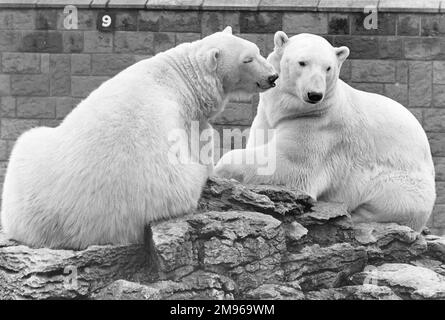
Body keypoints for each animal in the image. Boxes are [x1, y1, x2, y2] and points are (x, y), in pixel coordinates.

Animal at [0, 26, 278, 250]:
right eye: (248, 59)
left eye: (257, 50)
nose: (273, 77)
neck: (180, 77)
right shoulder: (184, 119)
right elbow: (201, 145)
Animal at [217, 31, 436, 230]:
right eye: (302, 62)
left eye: (328, 67)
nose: (314, 94)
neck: (292, 111)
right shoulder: (266, 118)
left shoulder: (319, 127)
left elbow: (284, 165)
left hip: (402, 184)